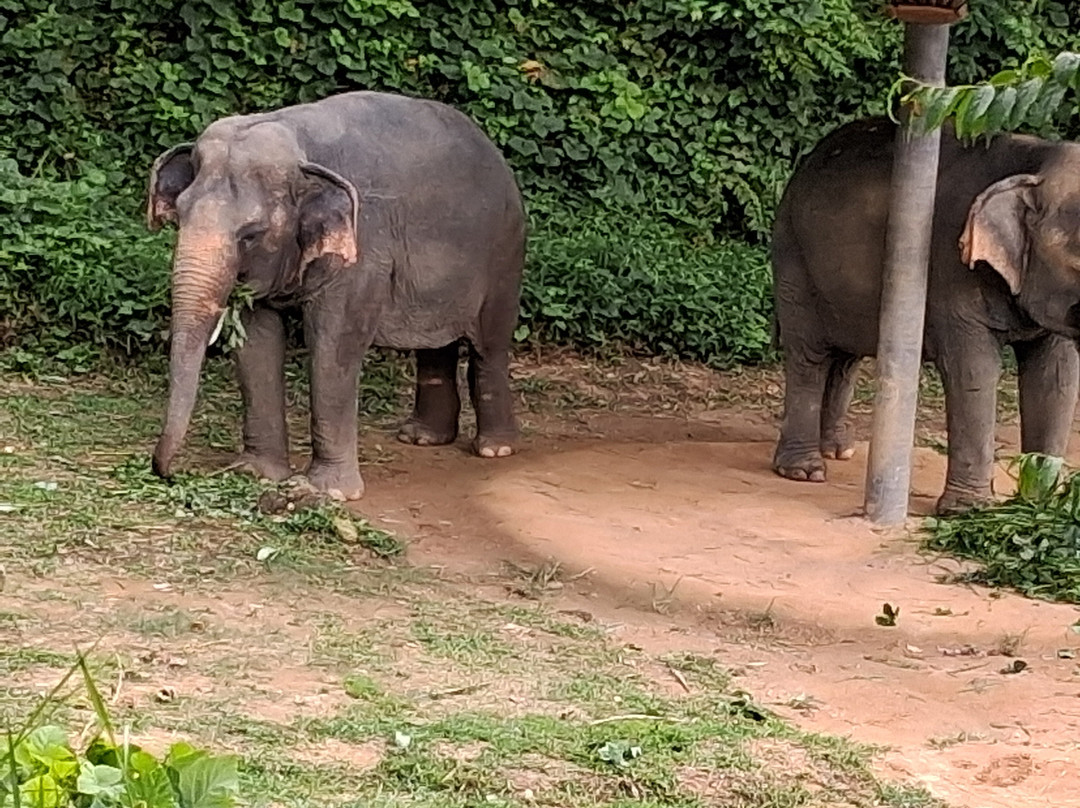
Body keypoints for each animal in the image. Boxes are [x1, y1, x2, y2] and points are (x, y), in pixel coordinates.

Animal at [147, 91, 526, 500]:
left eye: (251, 234)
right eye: (179, 215)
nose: (166, 472)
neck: (298, 142)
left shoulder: (365, 247)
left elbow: (333, 342)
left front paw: (328, 492)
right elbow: (257, 340)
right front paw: (255, 473)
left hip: (505, 252)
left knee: (489, 344)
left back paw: (495, 448)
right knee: (435, 343)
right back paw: (422, 438)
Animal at [771, 116, 1080, 514]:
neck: (1036, 161)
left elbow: (1056, 378)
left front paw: (1041, 505)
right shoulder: (951, 268)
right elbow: (973, 369)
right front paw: (968, 512)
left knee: (845, 358)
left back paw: (838, 450)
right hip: (793, 256)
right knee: (810, 355)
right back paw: (804, 471)